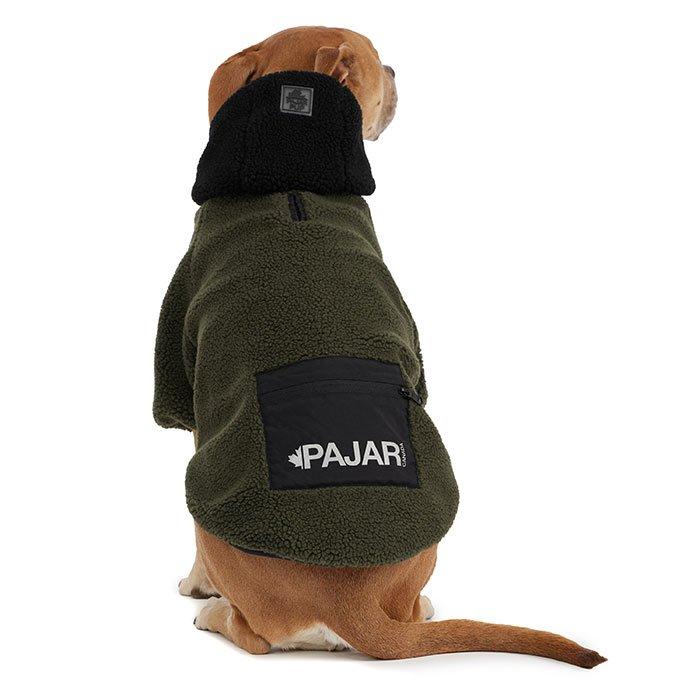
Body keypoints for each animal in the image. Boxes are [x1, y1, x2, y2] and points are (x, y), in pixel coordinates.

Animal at [155, 26, 605, 667]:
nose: (395, 69)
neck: (292, 180)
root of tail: (351, 602)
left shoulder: (192, 399)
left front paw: (195, 587)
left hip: (207, 497)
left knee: (255, 635)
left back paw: (214, 611)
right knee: (408, 611)